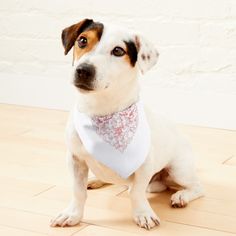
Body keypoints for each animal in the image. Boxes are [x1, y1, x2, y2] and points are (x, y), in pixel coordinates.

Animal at [50, 18, 204, 230]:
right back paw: (95, 180)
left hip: (179, 170)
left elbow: (136, 192)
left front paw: (143, 214)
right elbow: (78, 191)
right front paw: (72, 214)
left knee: (196, 187)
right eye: (82, 40)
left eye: (118, 51)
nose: (83, 70)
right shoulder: (75, 159)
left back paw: (181, 196)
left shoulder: (144, 166)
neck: (100, 111)